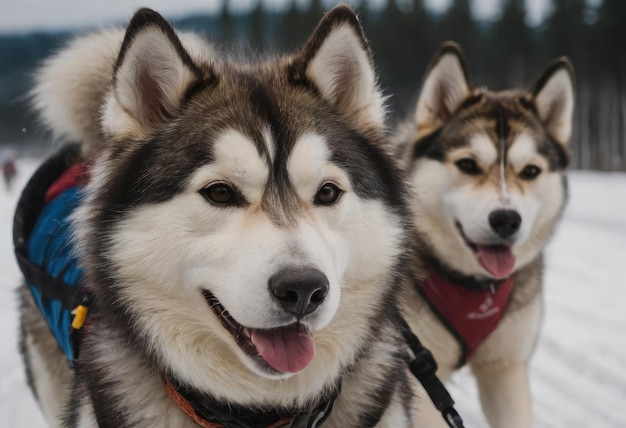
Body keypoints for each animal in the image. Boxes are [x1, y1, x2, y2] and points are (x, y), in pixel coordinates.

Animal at [398, 41, 572, 426]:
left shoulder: (505, 369)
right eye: (467, 164)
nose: (506, 220)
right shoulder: (420, 378)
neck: (475, 287)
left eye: (530, 171)